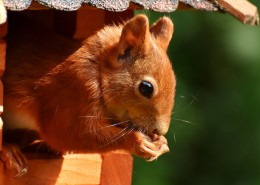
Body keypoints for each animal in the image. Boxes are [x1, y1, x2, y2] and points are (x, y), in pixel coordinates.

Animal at [0, 14, 176, 173]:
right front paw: (138, 142)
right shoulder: (70, 91)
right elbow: (67, 133)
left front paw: (162, 142)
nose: (160, 131)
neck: (98, 70)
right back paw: (9, 150)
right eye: (146, 88)